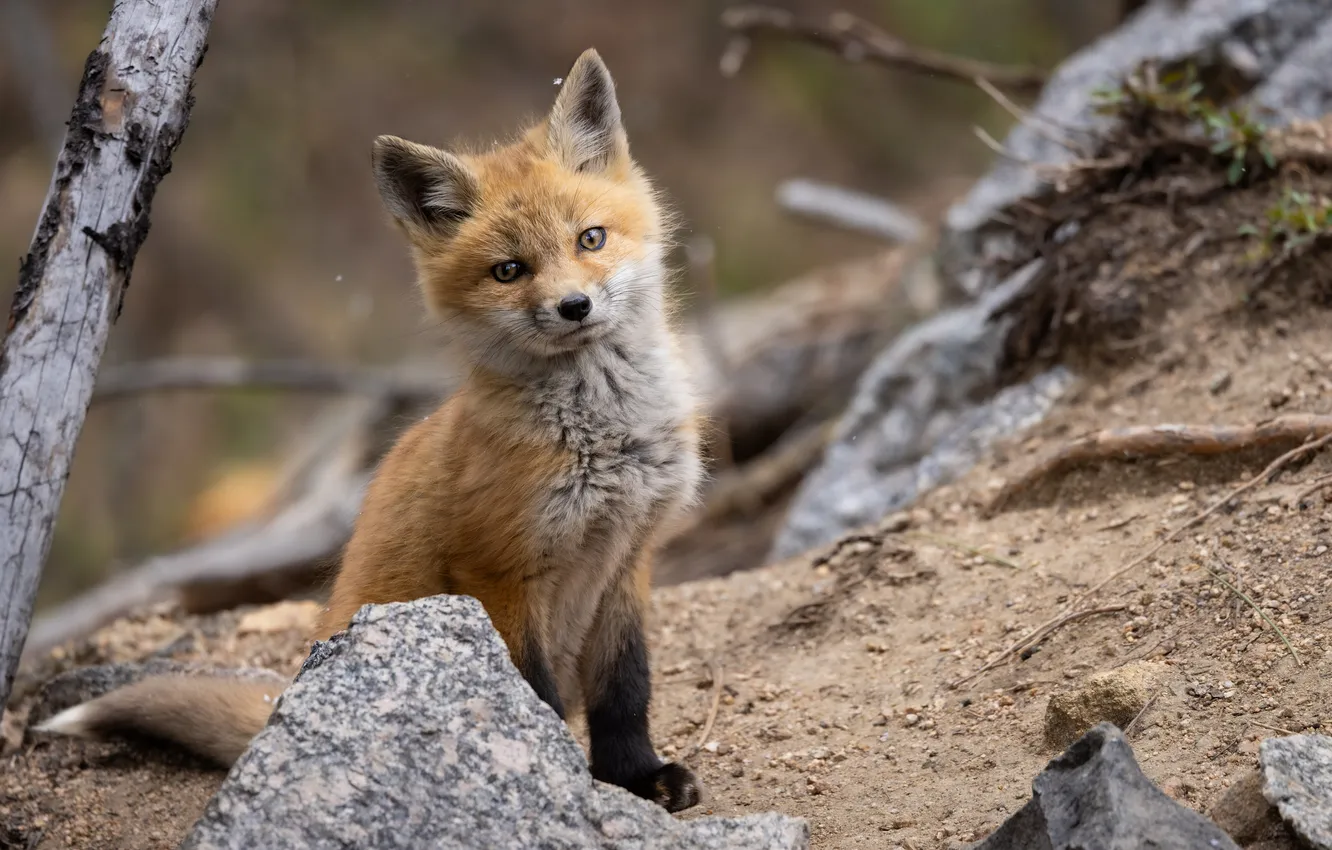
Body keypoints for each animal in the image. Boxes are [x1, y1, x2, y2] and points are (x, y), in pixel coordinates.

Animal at [36, 48, 706, 813]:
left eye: (590, 238)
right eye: (509, 271)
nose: (574, 306)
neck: (606, 436)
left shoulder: (629, 558)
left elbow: (626, 690)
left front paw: (637, 777)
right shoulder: (500, 570)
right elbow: (530, 694)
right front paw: (555, 775)